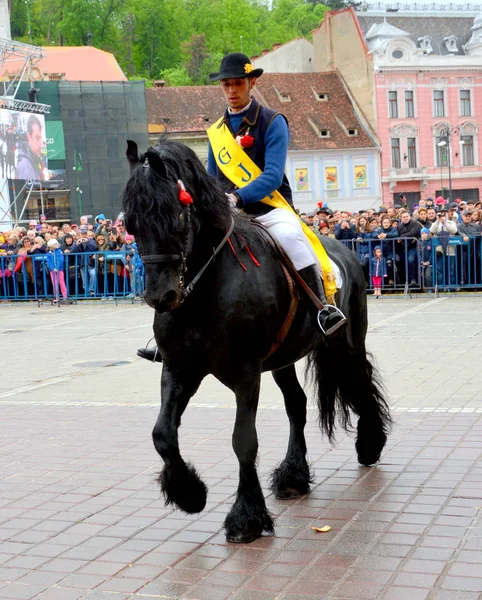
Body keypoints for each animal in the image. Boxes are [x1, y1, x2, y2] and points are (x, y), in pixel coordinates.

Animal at [121, 139, 392, 544]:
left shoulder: (246, 374)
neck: (206, 290)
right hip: (284, 359)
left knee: (359, 382)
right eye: (130, 223)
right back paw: (294, 475)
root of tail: (343, 249)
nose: (161, 296)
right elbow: (163, 434)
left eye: (178, 216)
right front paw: (188, 493)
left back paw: (370, 444)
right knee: (297, 405)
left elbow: (243, 440)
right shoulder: (179, 368)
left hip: (346, 343)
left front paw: (246, 516)